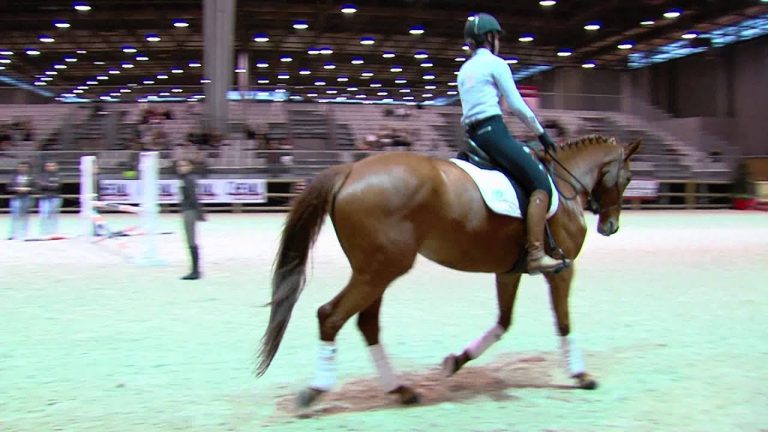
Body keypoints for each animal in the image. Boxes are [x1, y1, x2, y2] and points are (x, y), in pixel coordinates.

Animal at [256, 135, 641, 407]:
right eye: (627, 177)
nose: (611, 226)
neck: (564, 184)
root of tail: (351, 171)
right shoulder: (562, 271)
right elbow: (563, 323)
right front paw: (581, 375)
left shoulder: (508, 272)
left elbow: (502, 323)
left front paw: (456, 361)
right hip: (379, 271)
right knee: (331, 316)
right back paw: (317, 390)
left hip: (375, 271)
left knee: (367, 324)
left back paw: (399, 390)